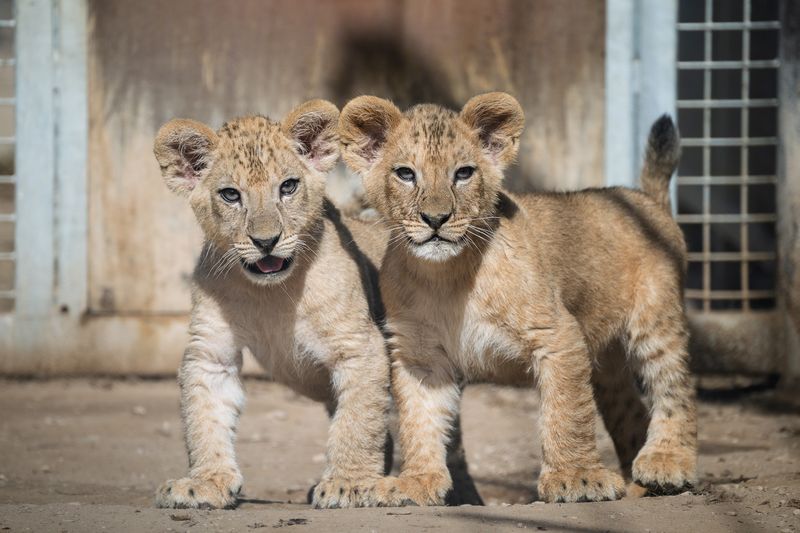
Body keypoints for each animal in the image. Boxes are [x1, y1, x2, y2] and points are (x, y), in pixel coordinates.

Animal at [338, 92, 697, 504]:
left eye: (464, 173)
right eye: (405, 174)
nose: (436, 219)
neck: (447, 276)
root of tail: (646, 200)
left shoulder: (559, 334)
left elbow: (567, 411)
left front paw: (576, 477)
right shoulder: (419, 355)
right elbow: (419, 419)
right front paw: (417, 480)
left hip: (655, 320)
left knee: (674, 388)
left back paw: (666, 464)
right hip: (607, 361)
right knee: (631, 414)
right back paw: (638, 485)